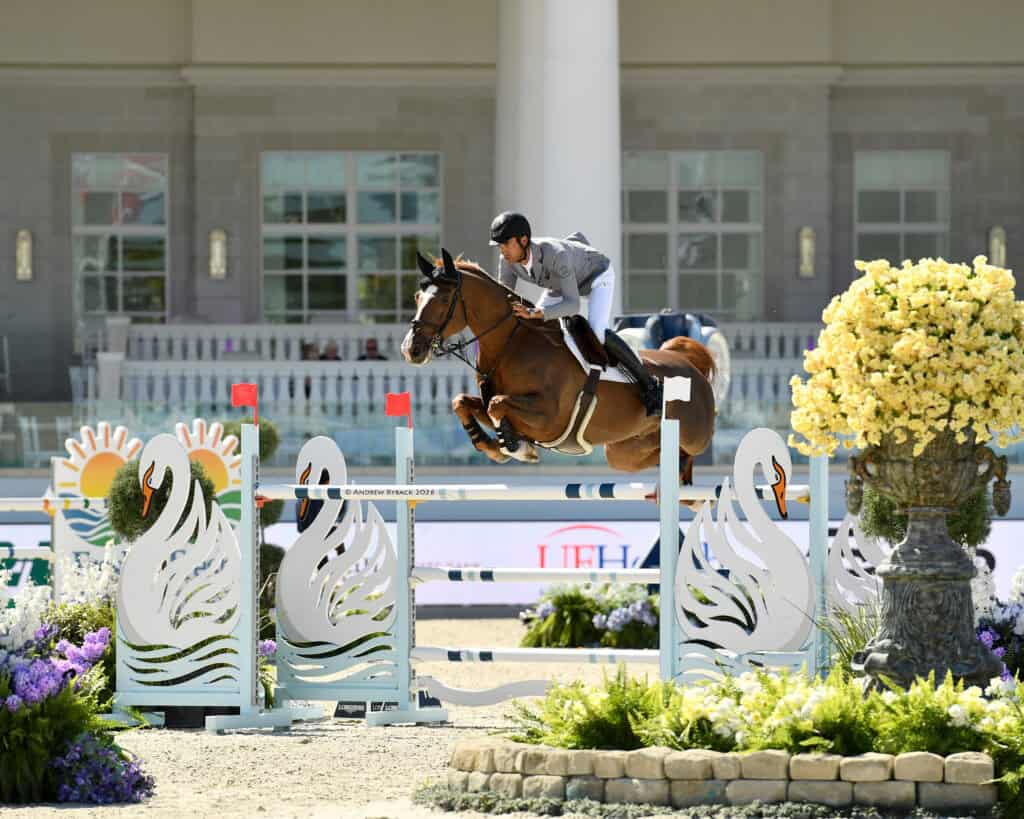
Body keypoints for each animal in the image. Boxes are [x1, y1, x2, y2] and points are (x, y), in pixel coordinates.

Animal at [400, 249, 717, 484]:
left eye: (443, 299)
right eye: (417, 297)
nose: (411, 350)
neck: (511, 345)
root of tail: (691, 366)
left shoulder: (549, 417)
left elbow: (497, 405)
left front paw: (515, 447)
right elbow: (462, 402)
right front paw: (494, 447)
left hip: (695, 437)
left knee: (691, 453)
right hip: (623, 452)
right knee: (658, 457)